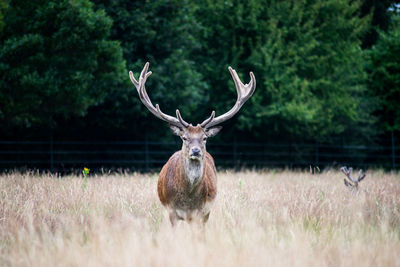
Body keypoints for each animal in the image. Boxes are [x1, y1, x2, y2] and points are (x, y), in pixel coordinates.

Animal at [129, 62, 256, 226]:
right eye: (184, 137)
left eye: (204, 138)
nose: (195, 151)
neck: (188, 199)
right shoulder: (171, 211)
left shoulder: (201, 212)